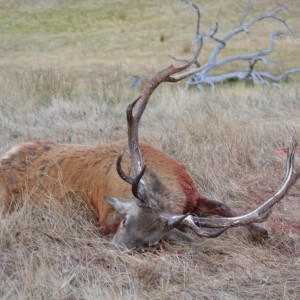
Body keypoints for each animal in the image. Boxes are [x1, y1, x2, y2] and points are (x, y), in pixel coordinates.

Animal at [0, 59, 298, 251]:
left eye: (152, 242)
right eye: (124, 222)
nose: (115, 251)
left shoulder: (195, 194)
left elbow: (224, 207)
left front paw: (260, 231)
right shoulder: (103, 217)